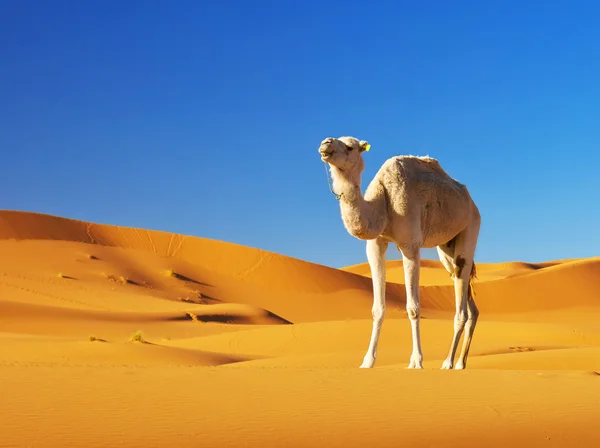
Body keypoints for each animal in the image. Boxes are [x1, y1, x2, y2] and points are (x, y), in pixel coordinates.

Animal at [318, 136, 482, 372]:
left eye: (349, 147)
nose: (326, 143)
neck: (382, 203)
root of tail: (471, 202)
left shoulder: (410, 244)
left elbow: (413, 307)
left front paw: (416, 361)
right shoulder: (375, 244)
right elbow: (377, 308)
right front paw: (367, 362)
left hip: (471, 226)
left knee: (462, 291)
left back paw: (448, 362)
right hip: (446, 247)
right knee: (464, 289)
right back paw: (461, 363)